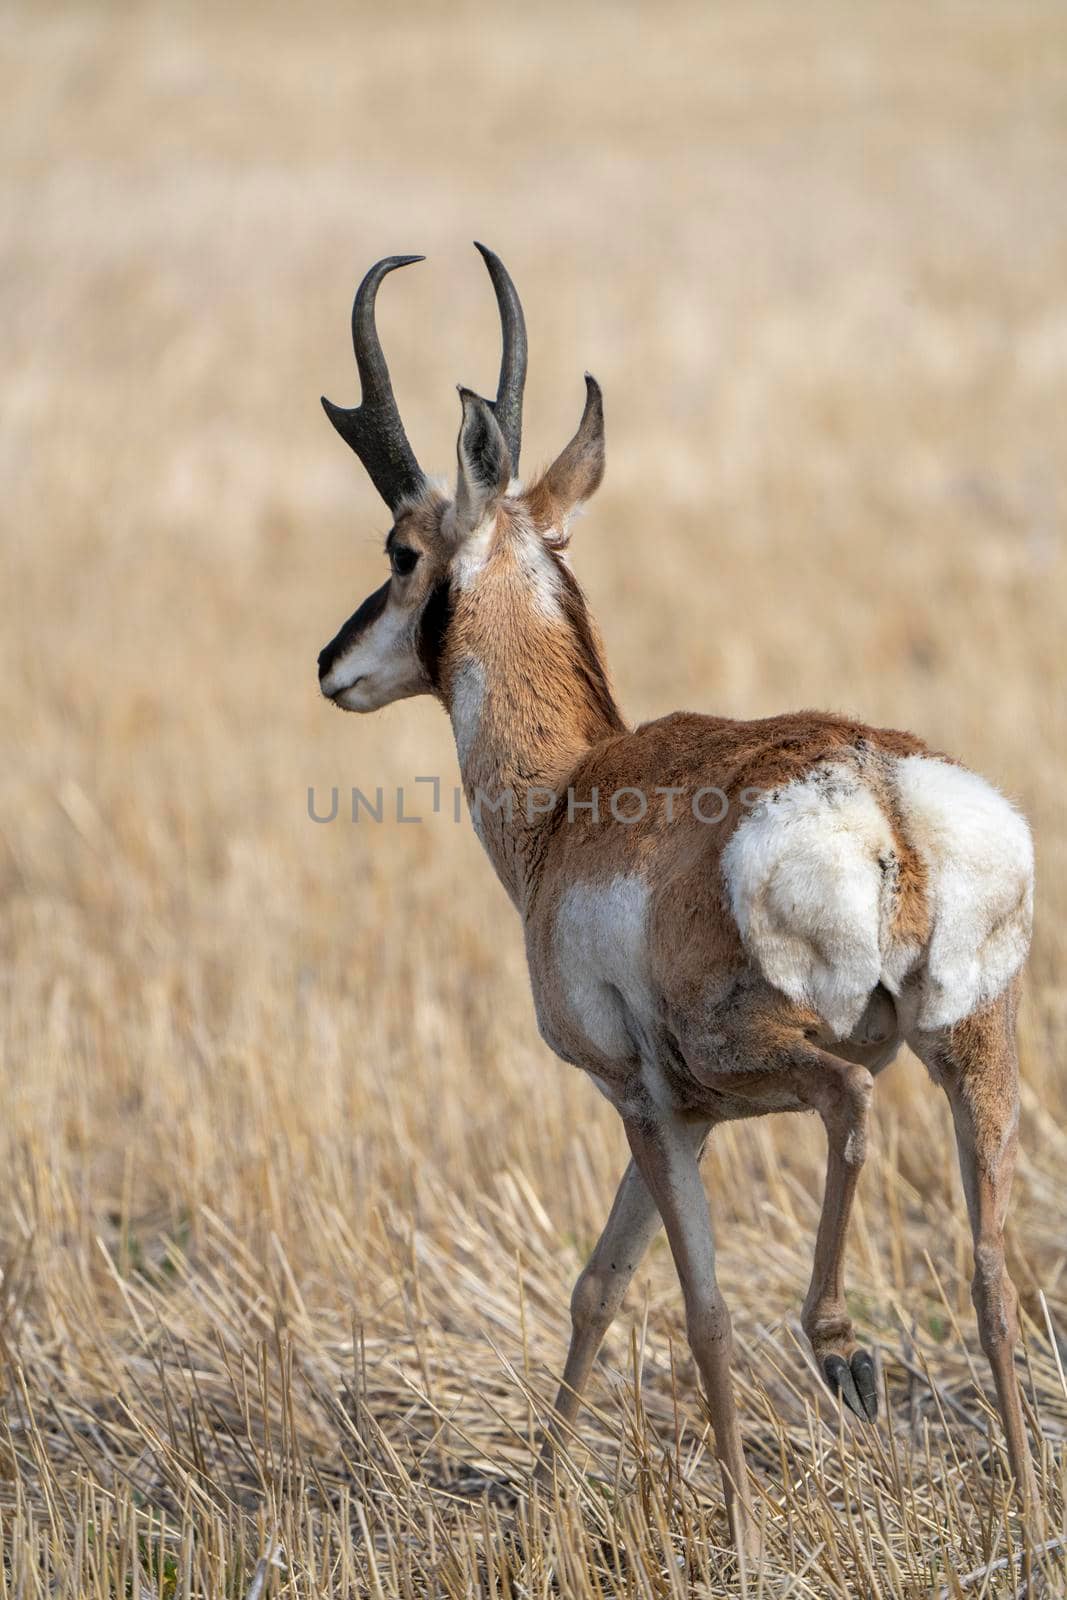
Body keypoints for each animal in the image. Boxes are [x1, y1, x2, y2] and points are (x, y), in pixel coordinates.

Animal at [315, 243, 1036, 1542]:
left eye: (400, 550)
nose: (329, 666)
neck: (568, 796)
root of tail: (874, 780)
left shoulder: (646, 1100)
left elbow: (689, 1308)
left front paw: (737, 1532)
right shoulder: (683, 1116)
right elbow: (597, 1283)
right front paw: (536, 1501)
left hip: (769, 1048)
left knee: (851, 1100)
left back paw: (841, 1351)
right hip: (972, 1051)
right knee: (989, 1268)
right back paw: (1022, 1507)